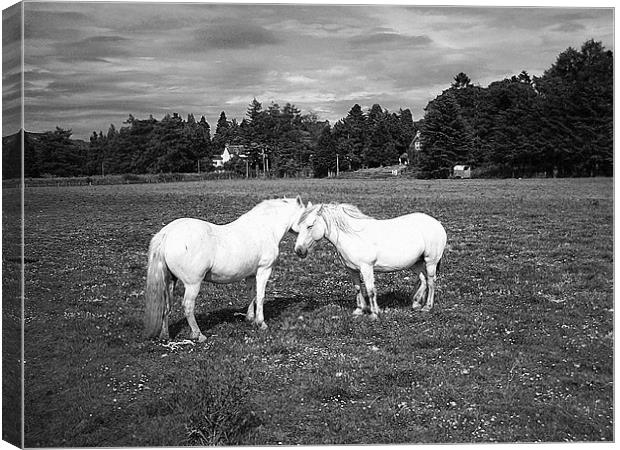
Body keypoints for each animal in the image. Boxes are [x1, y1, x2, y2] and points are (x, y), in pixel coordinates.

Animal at [146, 197, 310, 342]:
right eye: (307, 221)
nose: (302, 251)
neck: (264, 228)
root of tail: (167, 233)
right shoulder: (264, 270)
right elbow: (261, 296)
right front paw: (261, 323)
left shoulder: (251, 274)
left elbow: (252, 294)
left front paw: (250, 318)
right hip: (193, 284)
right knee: (187, 306)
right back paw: (198, 335)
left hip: (170, 281)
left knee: (166, 305)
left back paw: (165, 335)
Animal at [294, 202, 446, 318]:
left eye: (310, 226)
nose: (299, 250)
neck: (352, 236)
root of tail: (437, 224)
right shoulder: (352, 270)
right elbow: (358, 288)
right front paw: (359, 310)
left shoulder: (366, 268)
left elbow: (370, 290)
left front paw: (374, 313)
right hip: (416, 263)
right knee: (423, 280)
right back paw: (415, 303)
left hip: (430, 261)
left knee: (431, 281)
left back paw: (427, 307)